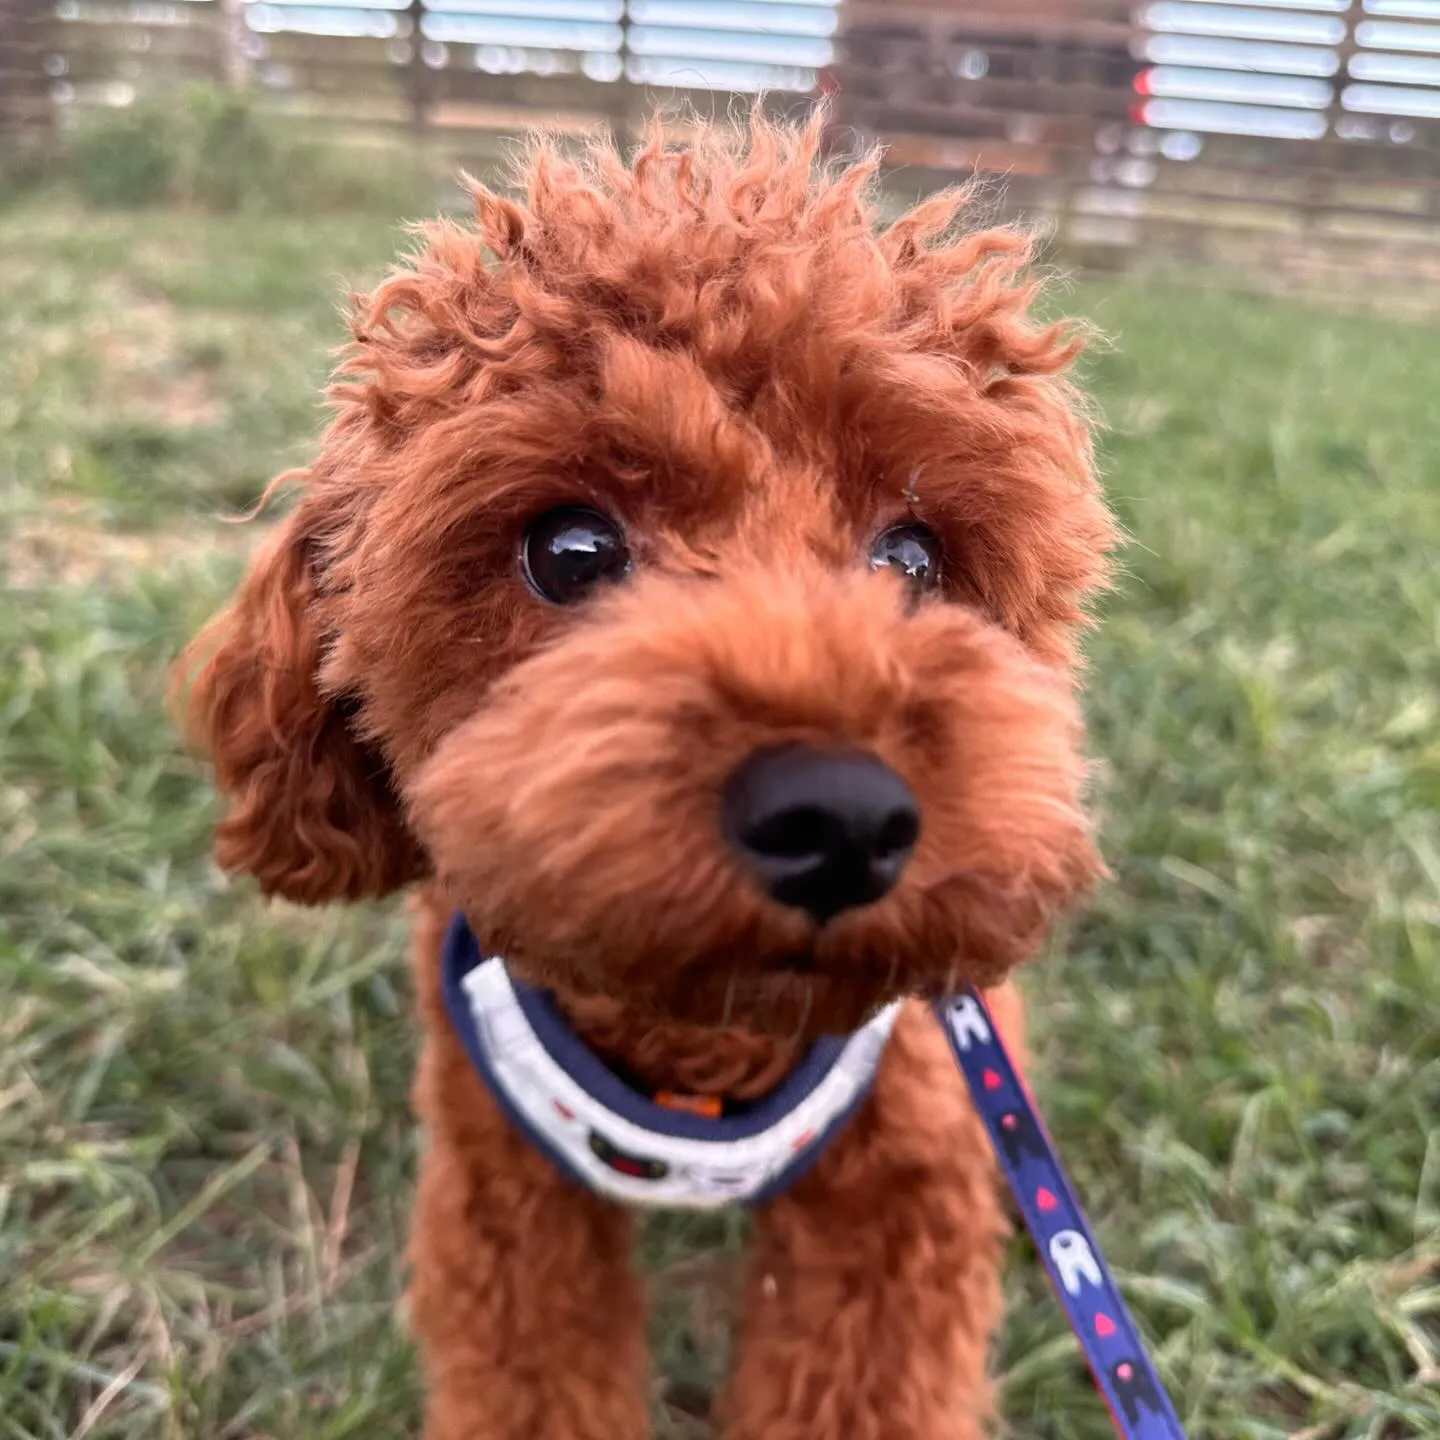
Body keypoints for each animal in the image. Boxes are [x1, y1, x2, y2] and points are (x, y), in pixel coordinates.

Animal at [177, 109, 1111, 1440]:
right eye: (571, 552)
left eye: (913, 558)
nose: (840, 818)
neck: (699, 1042)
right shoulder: (506, 1194)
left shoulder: (894, 1205)